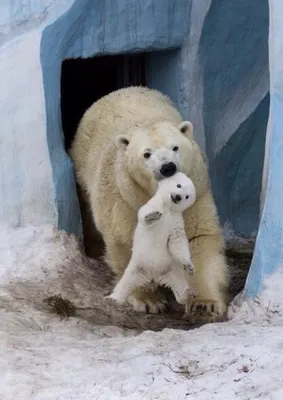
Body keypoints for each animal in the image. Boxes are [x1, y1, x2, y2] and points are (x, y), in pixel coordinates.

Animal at [70, 86, 230, 322]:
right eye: (147, 154)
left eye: (175, 147)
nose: (168, 167)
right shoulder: (126, 199)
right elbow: (126, 242)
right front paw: (149, 300)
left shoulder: (197, 192)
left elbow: (197, 237)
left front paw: (204, 304)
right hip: (83, 166)